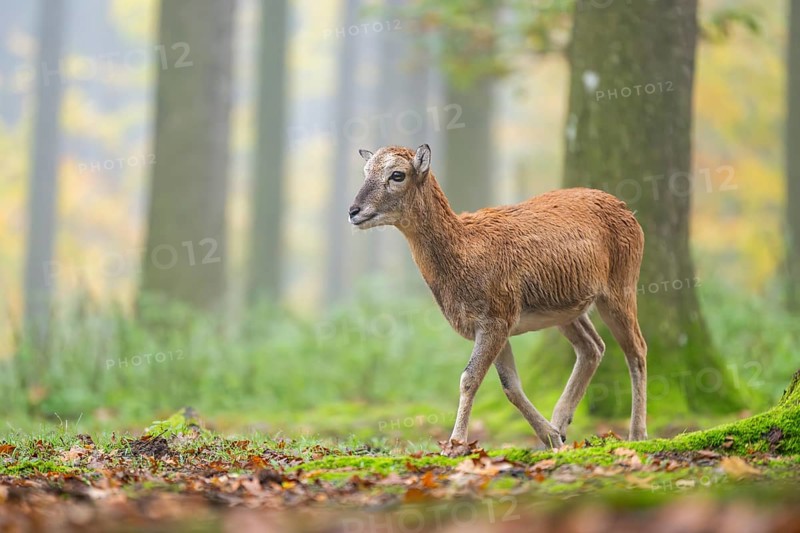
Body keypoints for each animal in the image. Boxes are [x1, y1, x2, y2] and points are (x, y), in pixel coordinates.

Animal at [348, 144, 647, 456]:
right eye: (365, 171)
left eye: (397, 174)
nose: (353, 211)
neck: (464, 254)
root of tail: (630, 213)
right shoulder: (497, 323)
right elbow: (510, 385)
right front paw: (550, 438)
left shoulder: (496, 316)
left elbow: (469, 379)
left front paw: (454, 445)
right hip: (566, 310)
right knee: (593, 347)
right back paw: (561, 424)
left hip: (621, 285)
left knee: (637, 349)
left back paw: (637, 434)